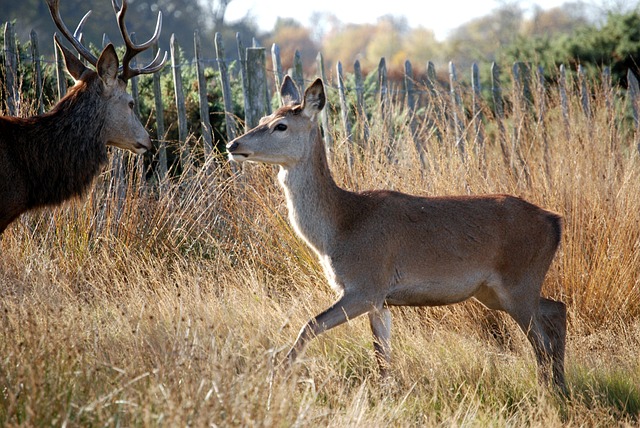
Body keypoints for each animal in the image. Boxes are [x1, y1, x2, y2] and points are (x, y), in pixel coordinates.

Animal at [228, 76, 568, 392]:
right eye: (262, 118)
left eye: (281, 126)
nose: (234, 145)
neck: (340, 227)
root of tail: (555, 223)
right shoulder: (380, 300)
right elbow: (382, 357)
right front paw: (387, 393)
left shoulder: (366, 285)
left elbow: (309, 326)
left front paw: (275, 379)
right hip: (495, 292)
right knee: (557, 310)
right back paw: (561, 386)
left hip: (518, 281)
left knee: (540, 341)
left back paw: (547, 392)